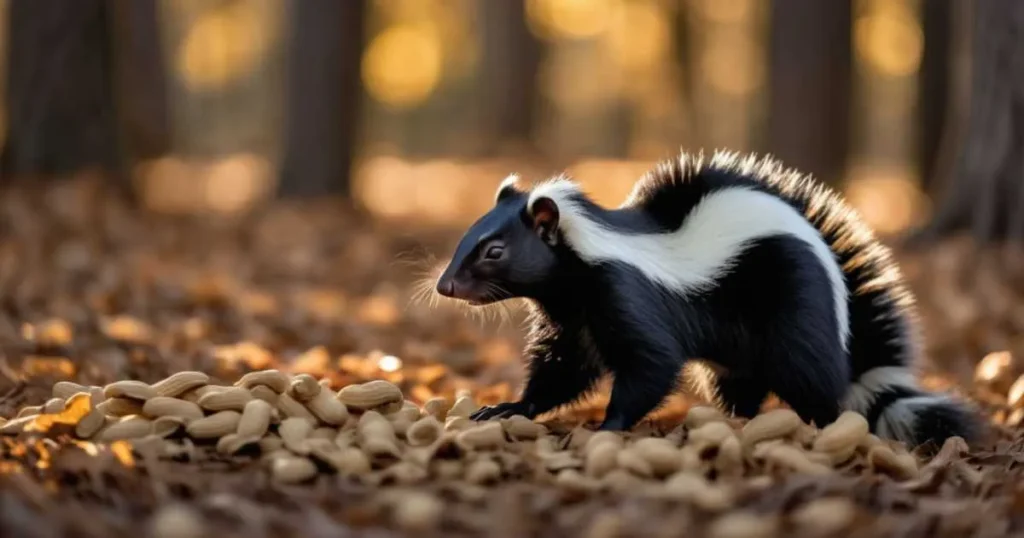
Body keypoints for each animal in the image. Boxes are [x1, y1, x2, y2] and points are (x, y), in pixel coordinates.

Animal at [436, 150, 978, 448]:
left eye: (494, 251)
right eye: (467, 238)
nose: (445, 285)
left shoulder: (624, 295)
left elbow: (652, 364)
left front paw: (610, 423)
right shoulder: (573, 319)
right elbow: (562, 370)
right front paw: (509, 407)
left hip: (793, 307)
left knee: (813, 379)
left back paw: (820, 423)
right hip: (743, 353)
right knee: (742, 385)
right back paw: (740, 419)